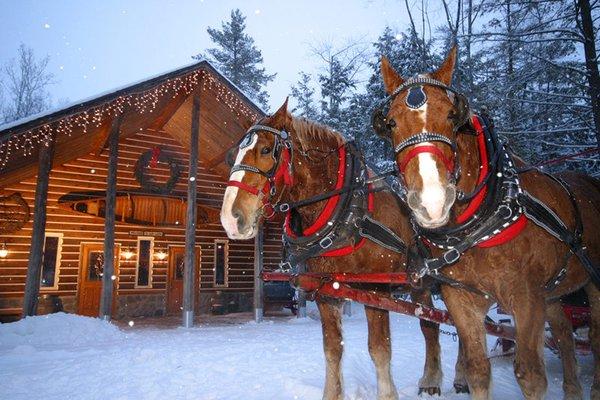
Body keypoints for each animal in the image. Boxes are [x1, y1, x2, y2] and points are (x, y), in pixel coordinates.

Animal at [221, 99, 464, 396]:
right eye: (233, 155)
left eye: (267, 150)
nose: (231, 219)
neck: (348, 210)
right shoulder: (326, 290)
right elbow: (333, 349)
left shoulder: (376, 289)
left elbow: (379, 349)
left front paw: (388, 394)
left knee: (440, 326)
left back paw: (441, 379)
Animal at [376, 47, 600, 400]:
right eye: (392, 122)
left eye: (452, 115)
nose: (432, 201)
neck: (480, 223)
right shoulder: (462, 298)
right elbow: (478, 371)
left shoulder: (526, 297)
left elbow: (530, 376)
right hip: (553, 293)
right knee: (564, 337)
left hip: (591, 283)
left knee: (594, 338)